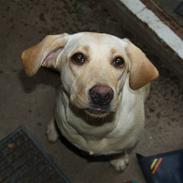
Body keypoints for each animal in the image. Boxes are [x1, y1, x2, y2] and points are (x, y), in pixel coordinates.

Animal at [21, 32, 159, 171]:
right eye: (78, 57)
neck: (93, 126)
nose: (102, 95)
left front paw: (119, 158)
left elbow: (121, 150)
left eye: (119, 61)